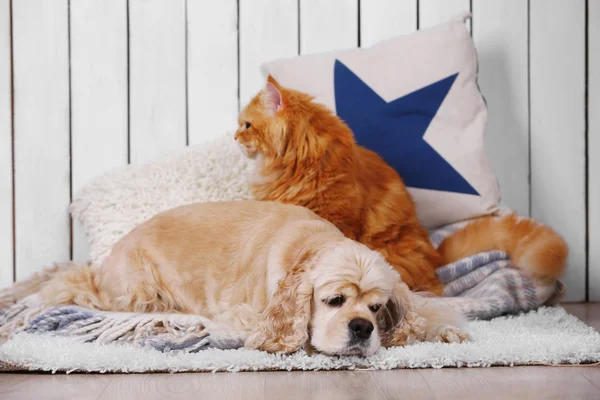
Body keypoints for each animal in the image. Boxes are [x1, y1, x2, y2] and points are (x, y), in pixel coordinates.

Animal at [11, 202, 468, 354]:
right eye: (334, 301)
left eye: (375, 308)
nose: (362, 328)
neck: (308, 246)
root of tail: (105, 263)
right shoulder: (247, 314)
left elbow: (424, 312)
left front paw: (446, 330)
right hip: (134, 291)